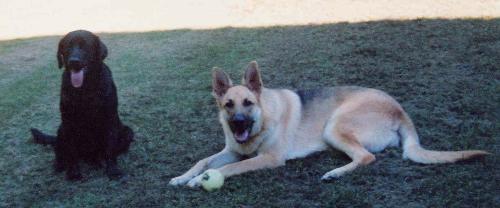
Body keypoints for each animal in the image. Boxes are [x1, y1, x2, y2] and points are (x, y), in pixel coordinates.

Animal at [30, 29, 134, 180]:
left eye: (86, 46)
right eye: (67, 46)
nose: (74, 62)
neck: (85, 89)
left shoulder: (109, 118)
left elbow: (110, 149)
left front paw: (113, 170)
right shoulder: (68, 121)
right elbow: (71, 151)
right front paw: (73, 172)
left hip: (127, 132)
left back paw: (98, 161)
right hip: (61, 130)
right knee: (60, 151)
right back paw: (60, 165)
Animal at [170, 61, 490, 188]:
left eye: (248, 103)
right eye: (229, 105)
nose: (238, 125)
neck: (263, 119)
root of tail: (399, 110)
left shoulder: (269, 158)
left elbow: (227, 168)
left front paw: (199, 180)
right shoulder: (233, 150)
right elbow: (203, 161)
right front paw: (183, 177)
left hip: (334, 126)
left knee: (367, 157)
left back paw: (335, 173)